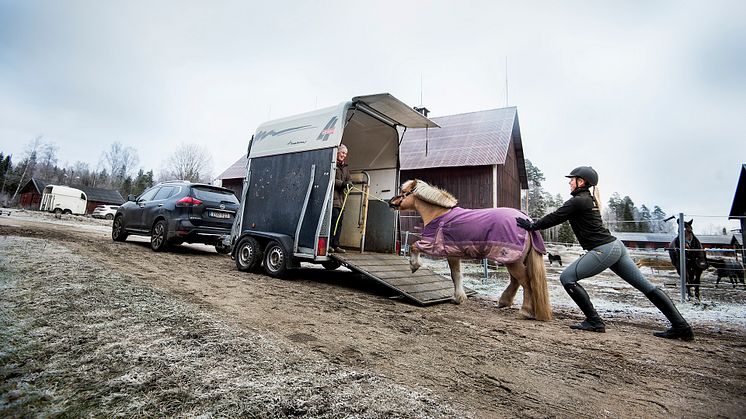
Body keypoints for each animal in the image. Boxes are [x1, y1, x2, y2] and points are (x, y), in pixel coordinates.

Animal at [386, 179, 548, 320]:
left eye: (403, 191)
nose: (390, 201)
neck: (438, 215)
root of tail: (527, 221)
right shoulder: (453, 254)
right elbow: (456, 275)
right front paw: (458, 298)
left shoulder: (432, 245)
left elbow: (414, 247)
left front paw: (414, 266)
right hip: (512, 260)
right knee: (516, 281)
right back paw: (504, 302)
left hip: (512, 260)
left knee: (525, 282)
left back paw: (525, 311)